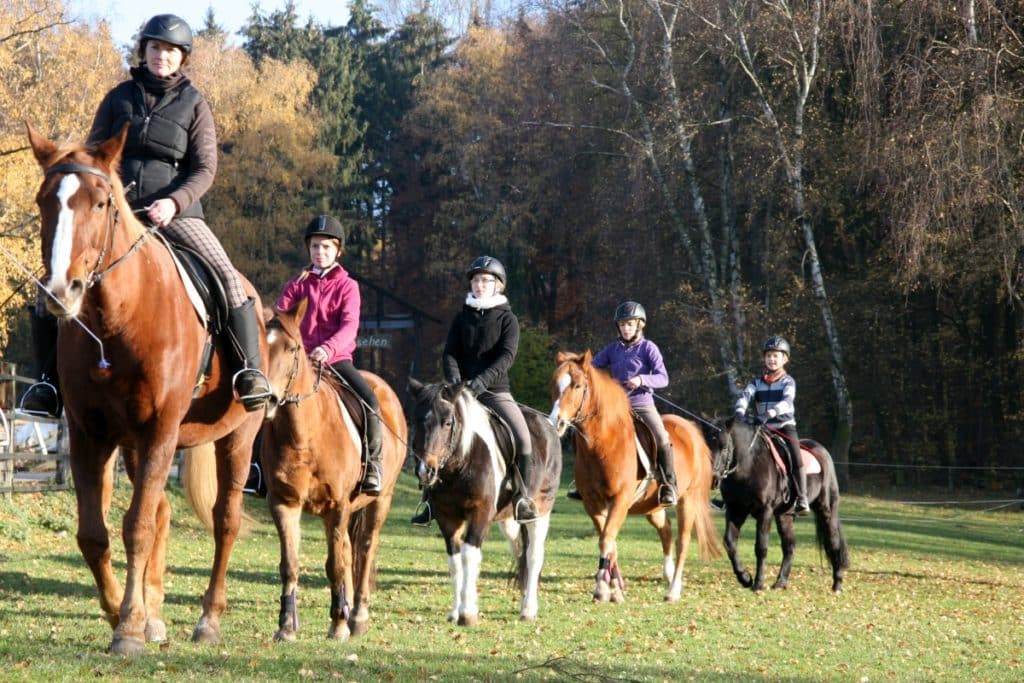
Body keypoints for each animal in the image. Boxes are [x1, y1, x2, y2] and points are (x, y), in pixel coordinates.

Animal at [28, 124, 268, 655]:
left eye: (101, 203)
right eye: (43, 201)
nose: (60, 291)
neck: (117, 320)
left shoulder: (159, 429)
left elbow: (135, 526)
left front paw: (129, 630)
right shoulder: (90, 434)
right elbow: (94, 533)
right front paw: (123, 612)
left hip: (236, 438)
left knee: (225, 520)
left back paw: (208, 619)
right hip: (137, 445)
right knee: (160, 511)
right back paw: (155, 614)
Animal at [258, 303, 405, 643]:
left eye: (292, 348)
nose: (267, 398)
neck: (304, 436)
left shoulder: (336, 507)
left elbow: (335, 565)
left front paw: (338, 624)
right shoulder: (284, 504)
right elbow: (290, 564)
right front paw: (286, 625)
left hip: (381, 501)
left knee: (364, 549)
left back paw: (357, 616)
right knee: (350, 551)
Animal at [403, 378, 561, 626]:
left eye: (447, 422)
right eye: (416, 420)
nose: (425, 471)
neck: (461, 463)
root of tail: (548, 425)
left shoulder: (481, 513)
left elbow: (469, 555)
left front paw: (467, 613)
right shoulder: (447, 518)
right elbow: (455, 561)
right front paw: (456, 611)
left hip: (541, 511)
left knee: (533, 555)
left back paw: (528, 609)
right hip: (508, 520)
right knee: (519, 551)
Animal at [548, 352, 716, 602]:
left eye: (577, 385)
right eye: (554, 384)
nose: (556, 422)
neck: (604, 444)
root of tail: (690, 429)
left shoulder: (620, 500)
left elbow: (607, 539)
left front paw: (602, 589)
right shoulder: (593, 504)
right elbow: (610, 542)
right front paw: (614, 589)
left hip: (688, 500)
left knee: (682, 541)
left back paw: (673, 590)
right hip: (652, 506)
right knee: (665, 529)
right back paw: (667, 574)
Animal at [700, 417, 851, 593]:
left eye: (724, 447)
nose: (712, 478)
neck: (749, 463)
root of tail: (822, 452)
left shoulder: (764, 511)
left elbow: (761, 547)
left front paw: (758, 583)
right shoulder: (735, 510)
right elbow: (729, 543)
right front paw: (745, 578)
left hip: (826, 510)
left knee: (834, 542)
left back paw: (837, 584)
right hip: (785, 516)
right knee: (790, 546)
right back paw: (780, 582)